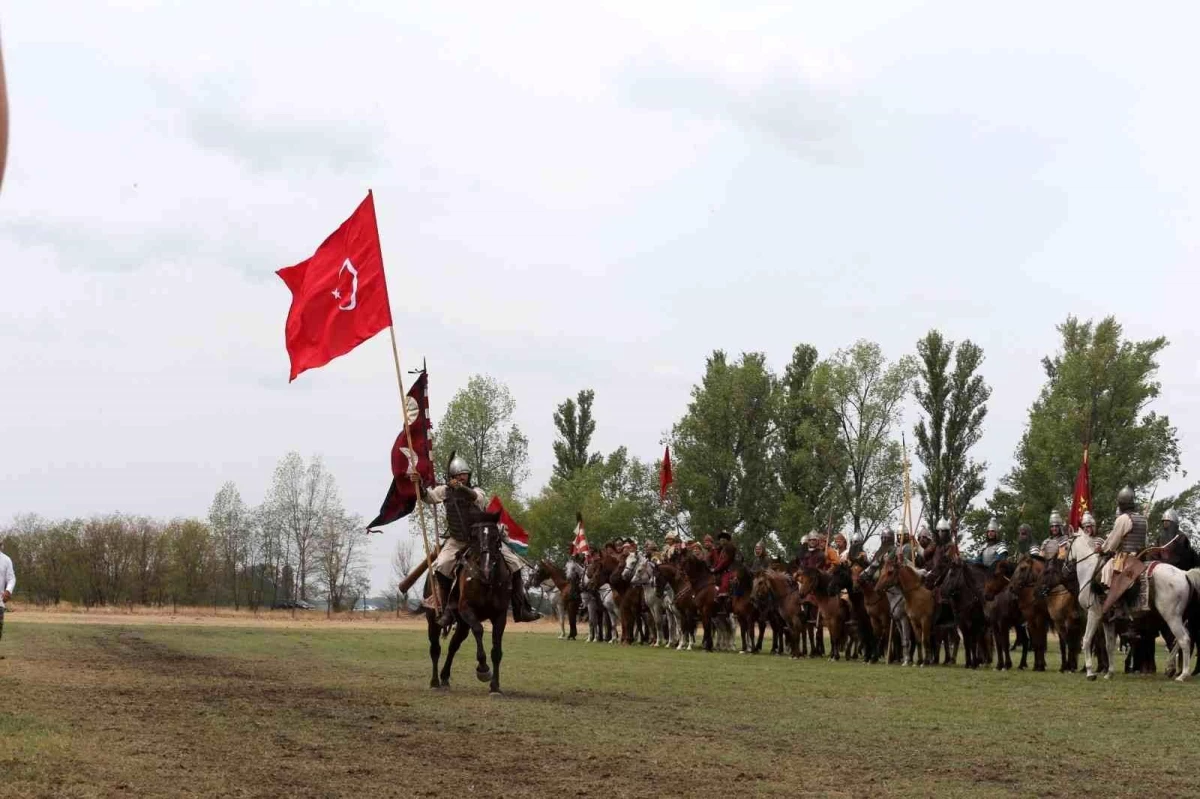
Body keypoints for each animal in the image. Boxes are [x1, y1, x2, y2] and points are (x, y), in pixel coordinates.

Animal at [1075, 532, 1195, 681]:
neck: (1090, 572)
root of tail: (1184, 574)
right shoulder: (1107, 620)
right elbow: (1109, 645)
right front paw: (1109, 673)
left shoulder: (1094, 614)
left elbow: (1086, 640)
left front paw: (1090, 673)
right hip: (1178, 617)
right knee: (1181, 640)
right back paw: (1171, 668)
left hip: (1171, 618)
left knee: (1183, 640)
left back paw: (1182, 675)